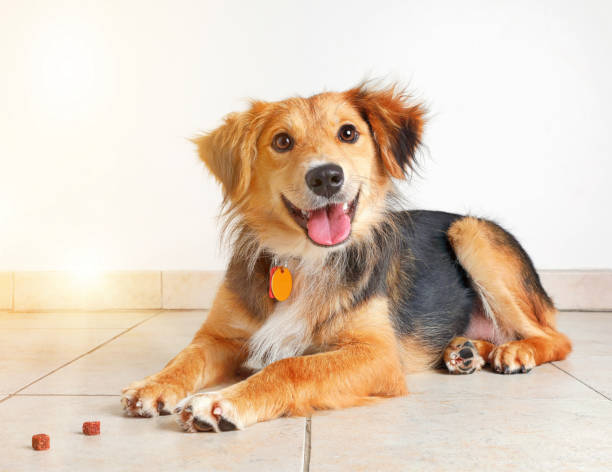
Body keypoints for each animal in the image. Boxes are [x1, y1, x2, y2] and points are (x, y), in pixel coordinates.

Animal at [122, 82, 572, 432]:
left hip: (472, 232)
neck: (304, 260)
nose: (326, 176)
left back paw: (514, 352)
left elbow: (290, 366)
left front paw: (218, 402)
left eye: (349, 132)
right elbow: (186, 357)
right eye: (282, 141)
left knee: (555, 337)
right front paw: (152, 385)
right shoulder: (221, 337)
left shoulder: (378, 356)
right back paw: (466, 352)